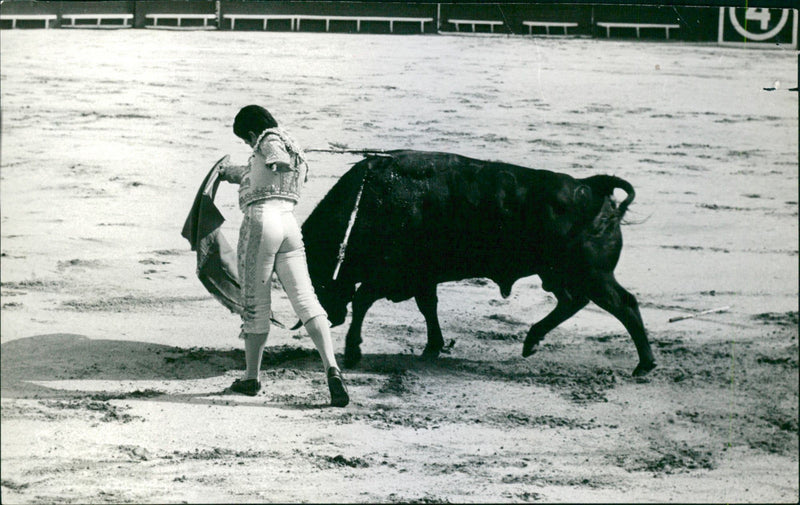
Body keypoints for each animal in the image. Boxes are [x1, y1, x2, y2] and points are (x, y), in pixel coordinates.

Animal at [300, 148, 656, 376]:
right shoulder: (421, 278)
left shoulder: (390, 275)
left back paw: (644, 365)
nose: (329, 316)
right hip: (560, 275)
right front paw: (433, 347)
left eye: (314, 272)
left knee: (623, 304)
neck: (365, 203)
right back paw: (532, 342)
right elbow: (427, 307)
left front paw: (353, 352)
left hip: (592, 275)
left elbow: (363, 302)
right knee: (574, 301)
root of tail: (592, 185)